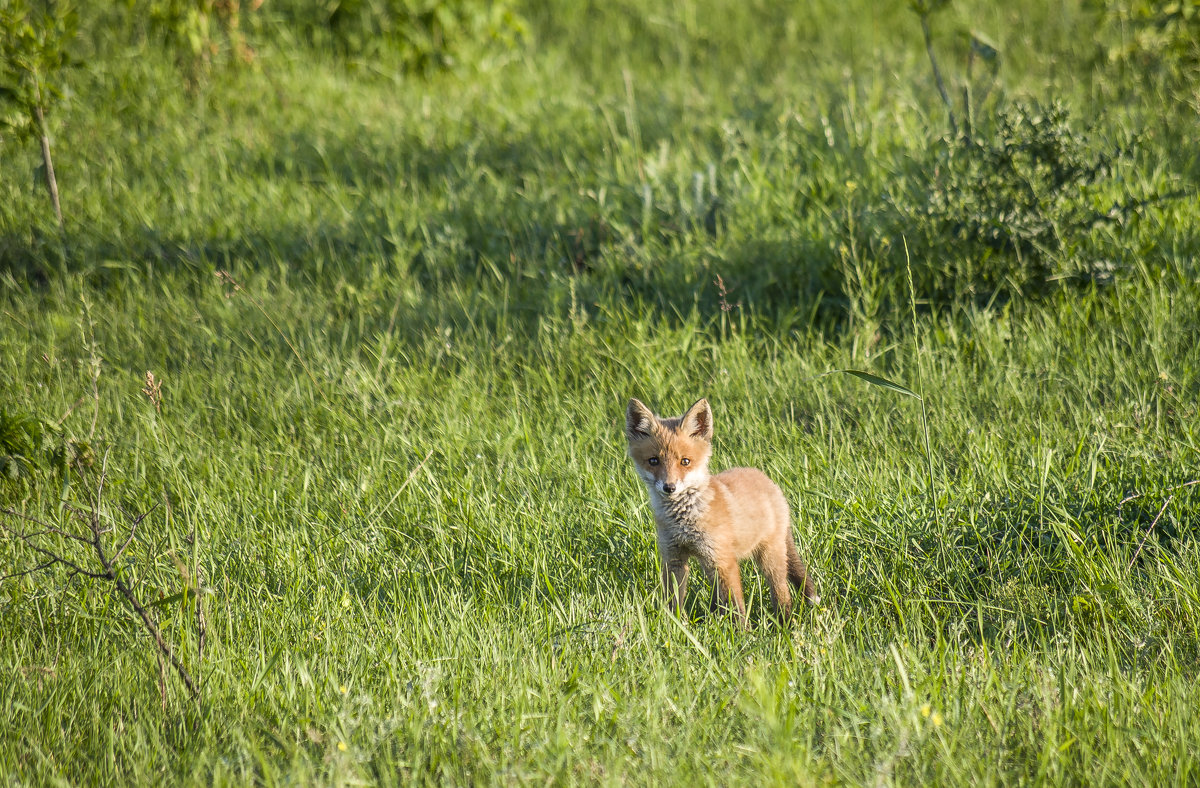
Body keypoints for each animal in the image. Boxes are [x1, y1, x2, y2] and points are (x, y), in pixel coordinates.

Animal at [624, 395, 820, 623]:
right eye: (653, 461)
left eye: (685, 461)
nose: (669, 487)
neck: (683, 521)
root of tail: (768, 481)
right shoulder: (674, 558)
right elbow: (673, 601)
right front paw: (673, 625)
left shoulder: (723, 560)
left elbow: (737, 607)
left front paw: (743, 632)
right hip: (710, 564)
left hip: (769, 557)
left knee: (781, 592)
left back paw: (785, 622)